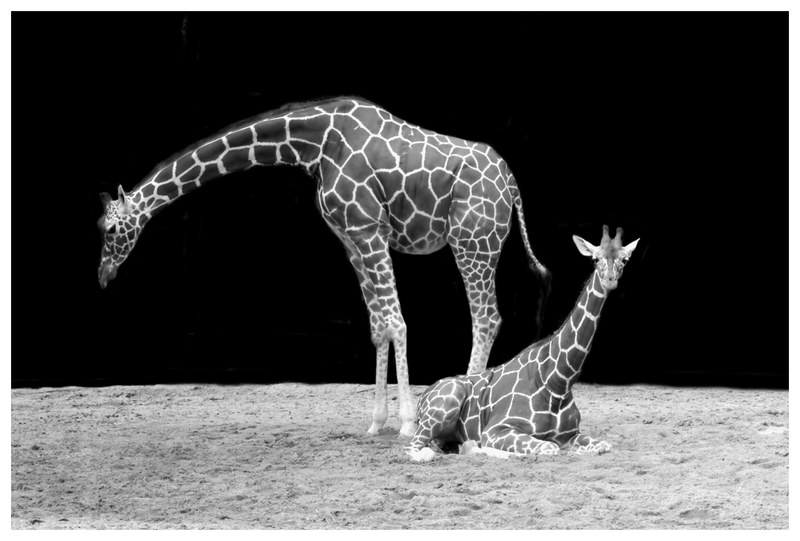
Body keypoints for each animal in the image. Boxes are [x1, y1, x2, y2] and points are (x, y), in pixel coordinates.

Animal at [96, 96, 549, 437]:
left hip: (472, 241)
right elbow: (378, 327)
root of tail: (512, 184)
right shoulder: (351, 240)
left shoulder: (370, 229)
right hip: (475, 243)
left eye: (112, 228)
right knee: (485, 317)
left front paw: (405, 423)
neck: (315, 145)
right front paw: (376, 423)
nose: (103, 275)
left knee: (487, 317)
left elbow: (398, 322)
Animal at [405, 225, 639, 461]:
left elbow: (603, 445)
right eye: (595, 258)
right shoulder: (496, 429)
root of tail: (422, 398)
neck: (558, 381)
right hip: (445, 405)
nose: (610, 279)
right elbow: (549, 447)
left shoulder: (570, 434)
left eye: (625, 259)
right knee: (414, 449)